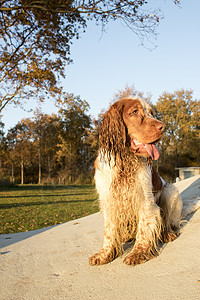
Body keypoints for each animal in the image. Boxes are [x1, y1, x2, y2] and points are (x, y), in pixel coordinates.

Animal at [89, 97, 183, 266]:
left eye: (151, 113)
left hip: (169, 192)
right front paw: (104, 254)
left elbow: (144, 228)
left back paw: (167, 234)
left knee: (166, 222)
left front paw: (138, 253)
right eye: (134, 112)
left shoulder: (145, 200)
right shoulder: (108, 201)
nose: (163, 127)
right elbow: (109, 232)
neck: (125, 162)